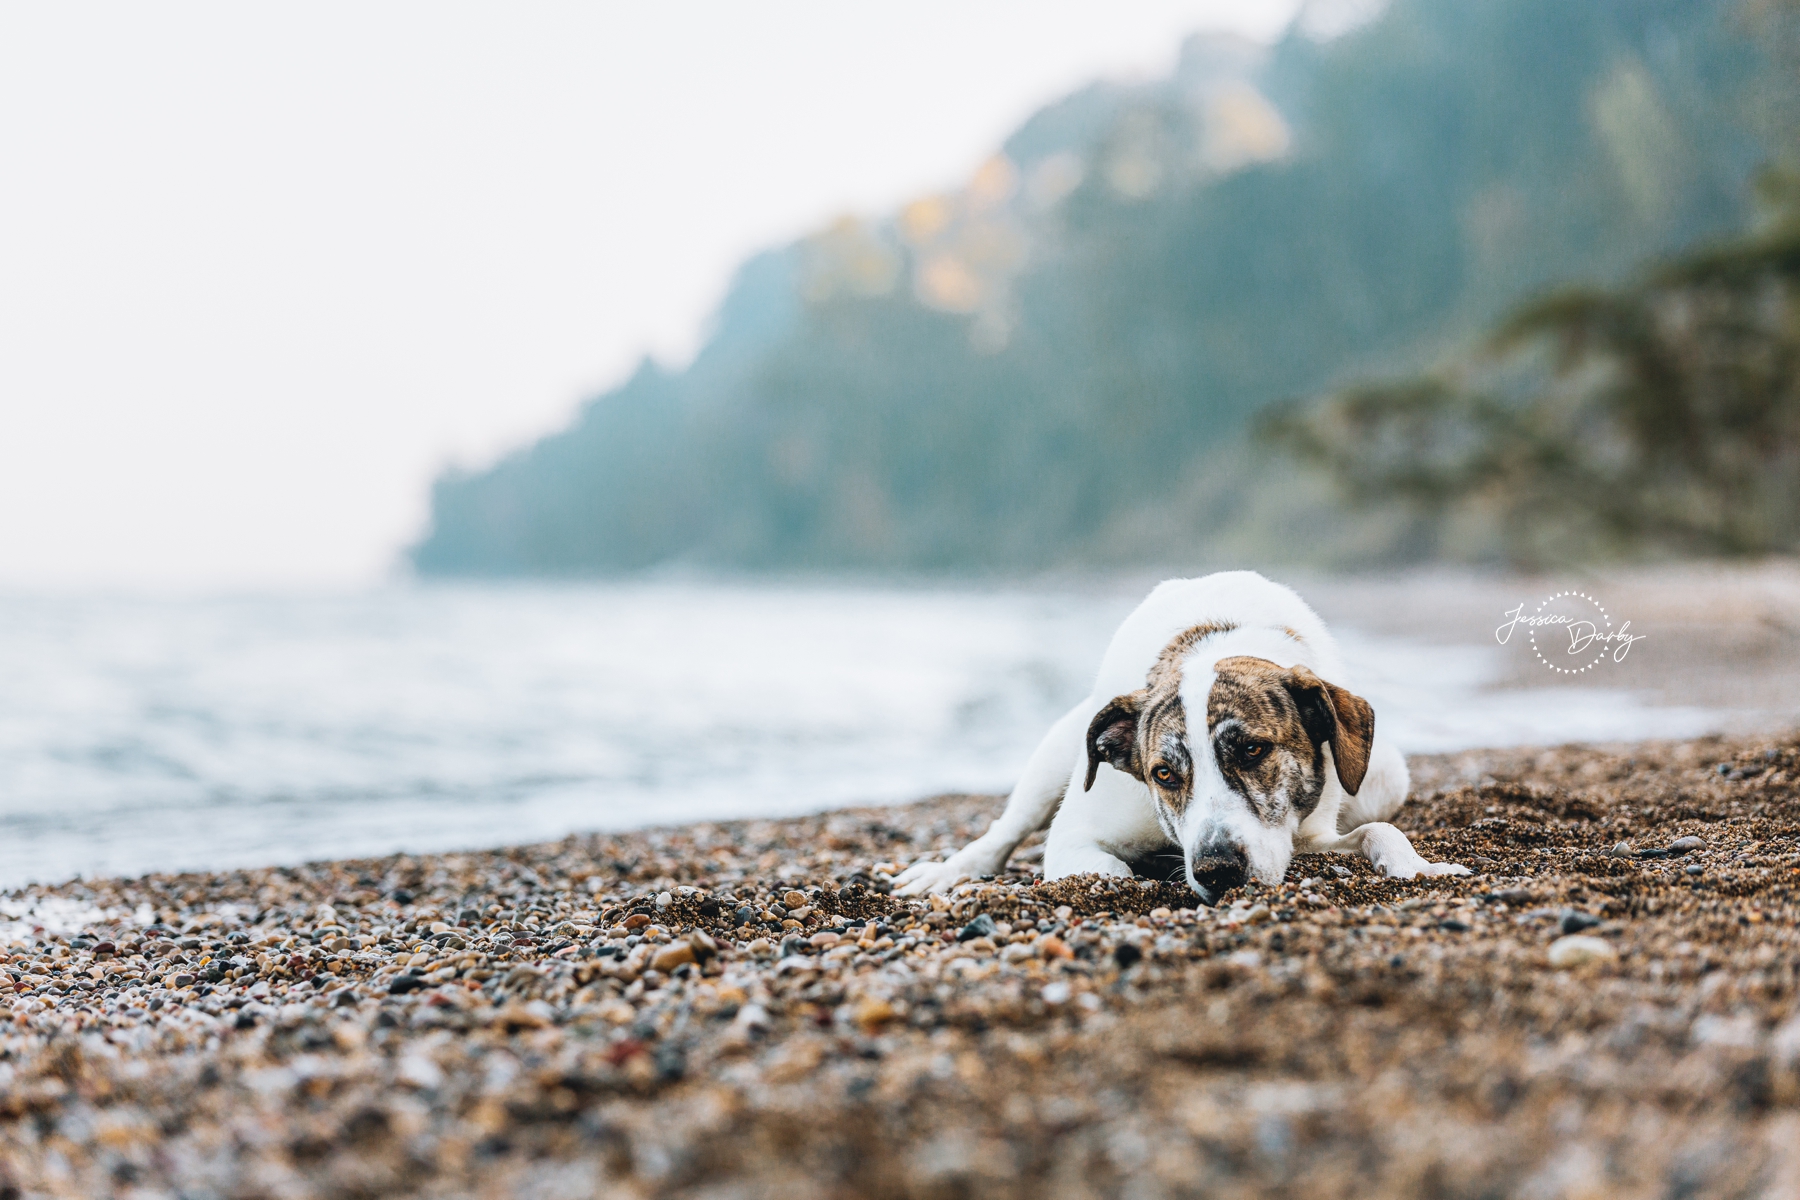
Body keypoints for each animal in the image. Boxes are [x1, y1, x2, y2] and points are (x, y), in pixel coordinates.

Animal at [892, 572, 1468, 899]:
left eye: (1253, 749)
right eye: (1163, 774)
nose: (1217, 870)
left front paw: (1419, 867)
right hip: (1057, 751)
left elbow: (1380, 832)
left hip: (1386, 776)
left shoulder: (1307, 836)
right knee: (1004, 830)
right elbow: (1107, 871)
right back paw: (948, 872)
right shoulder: (1077, 833)